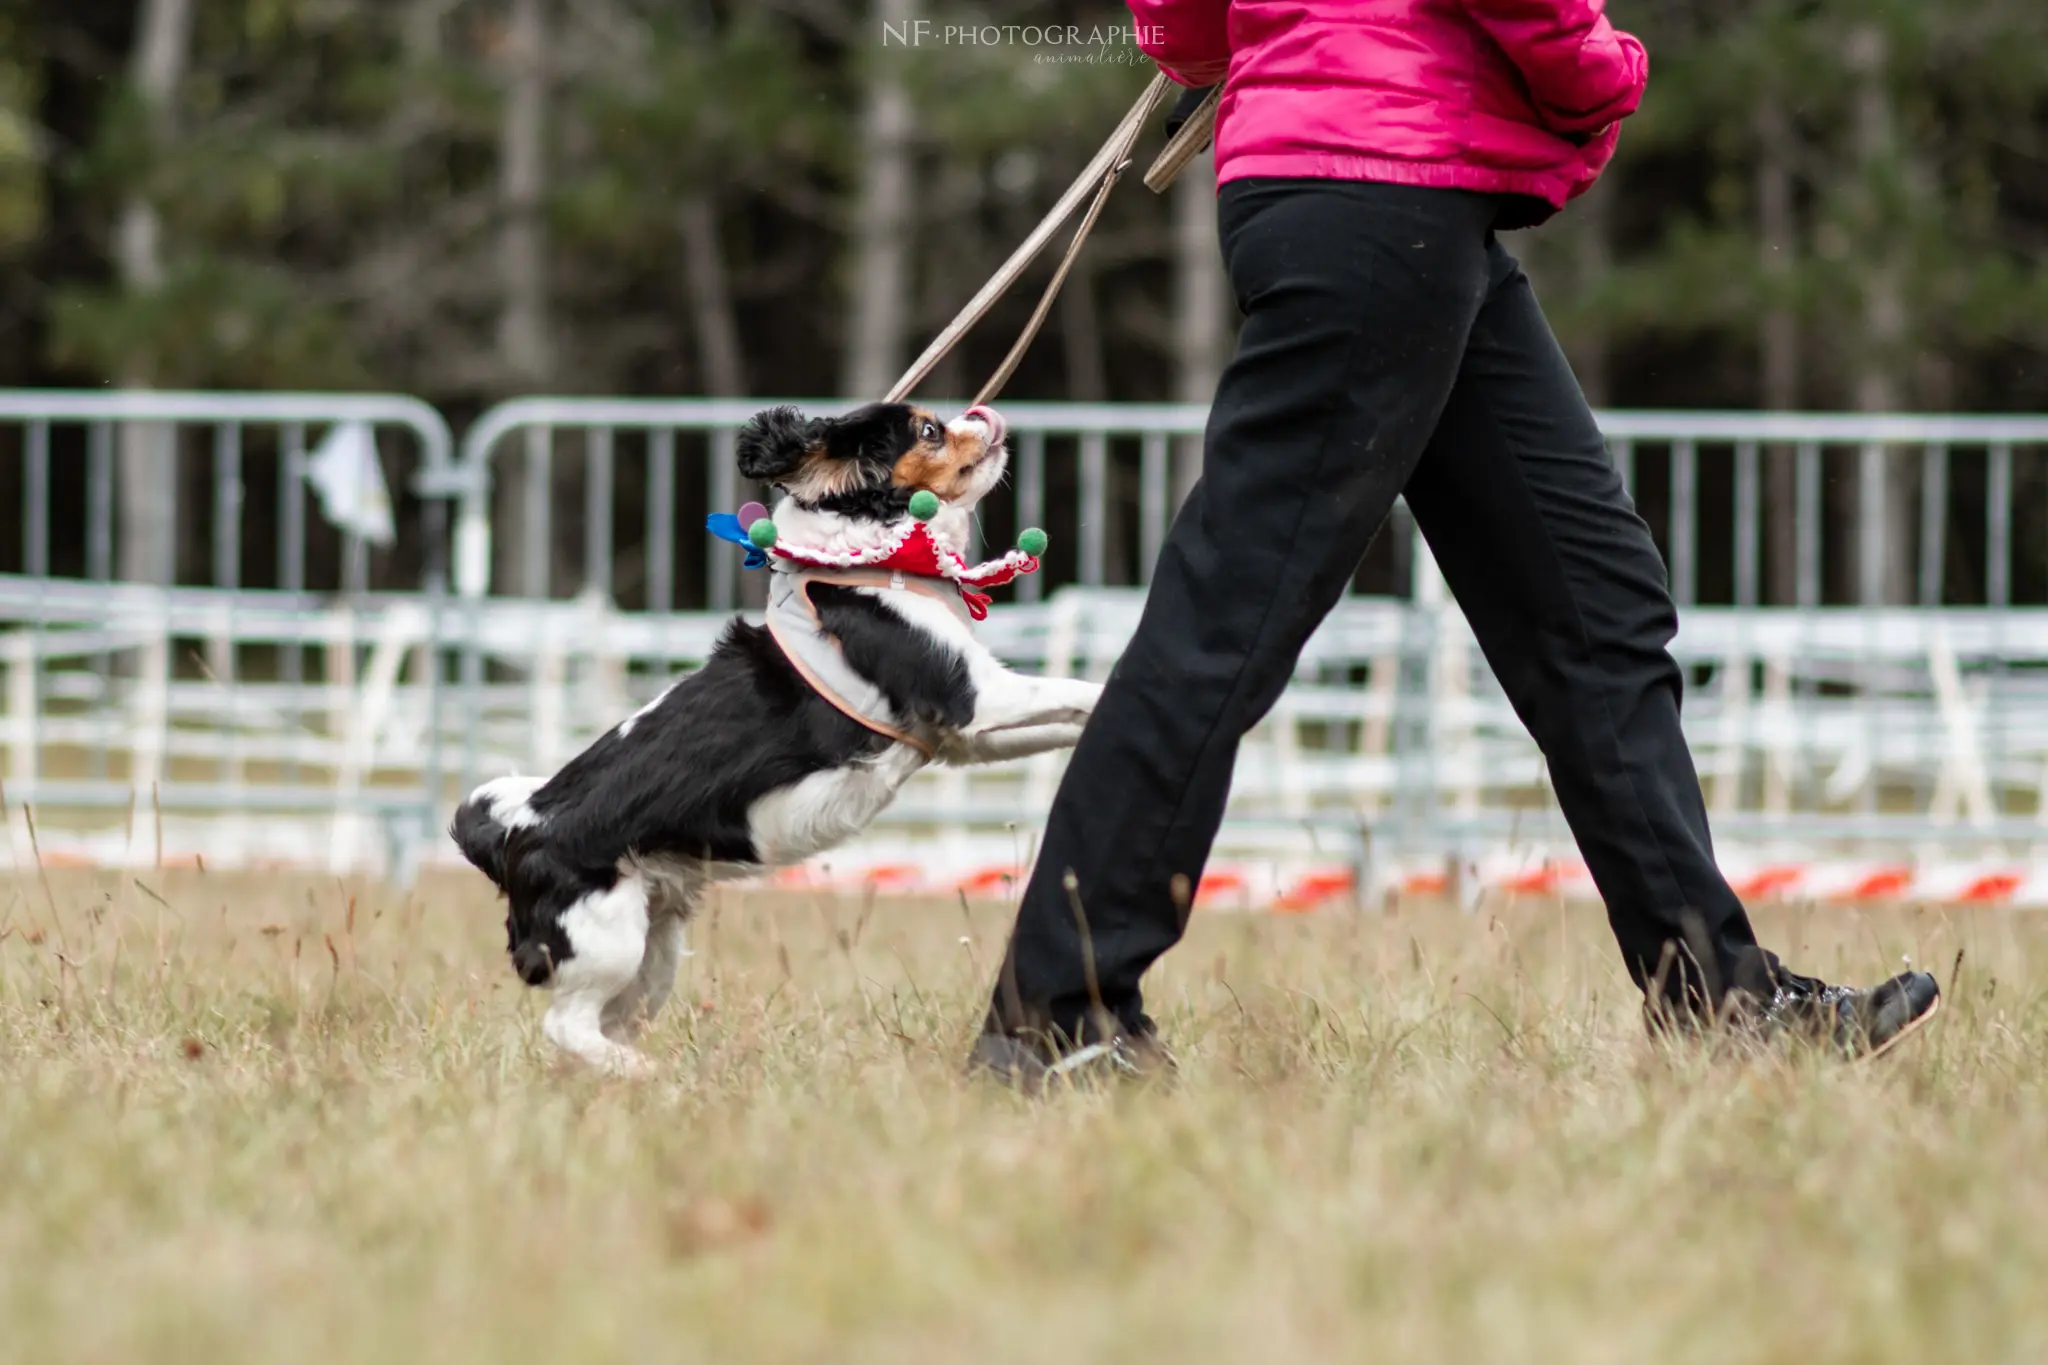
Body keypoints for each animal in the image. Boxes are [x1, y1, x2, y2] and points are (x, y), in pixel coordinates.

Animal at [450, 401, 1105, 1072]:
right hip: (606, 933)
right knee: (566, 1024)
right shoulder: (974, 699)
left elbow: (1067, 714)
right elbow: (1079, 688)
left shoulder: (964, 739)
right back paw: (649, 1073)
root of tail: (516, 829)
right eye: (929, 431)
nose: (983, 414)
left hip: (653, 949)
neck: (877, 559)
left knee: (599, 1030)